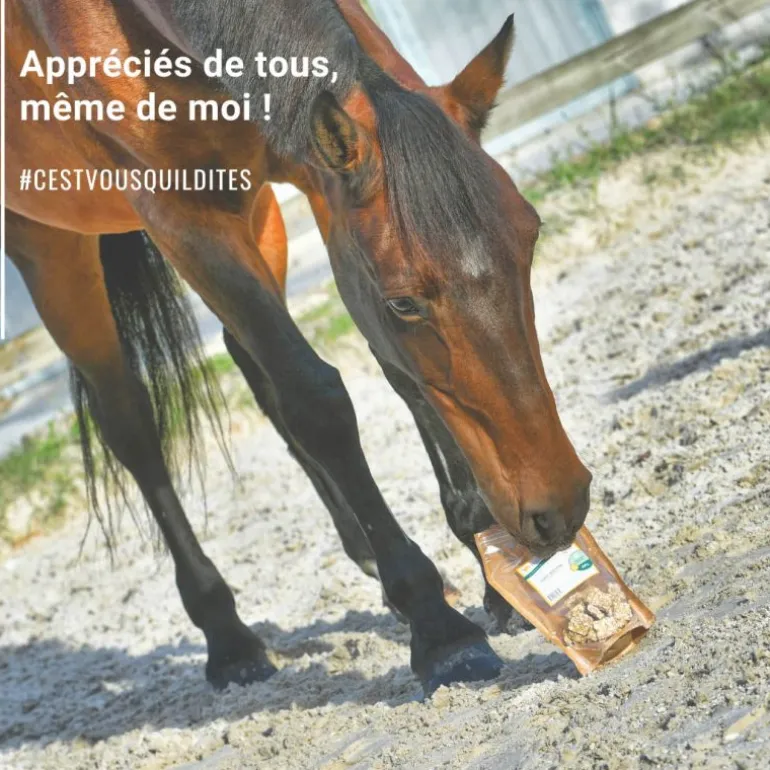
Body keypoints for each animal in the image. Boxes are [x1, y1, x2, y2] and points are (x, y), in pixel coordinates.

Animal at [5, 0, 592, 696]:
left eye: (530, 237)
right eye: (404, 302)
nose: (560, 508)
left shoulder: (316, 182)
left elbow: (402, 380)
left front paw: (491, 579)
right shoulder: (186, 220)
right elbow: (318, 402)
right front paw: (438, 629)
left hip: (257, 214)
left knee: (252, 367)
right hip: (51, 249)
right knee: (132, 427)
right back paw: (229, 639)